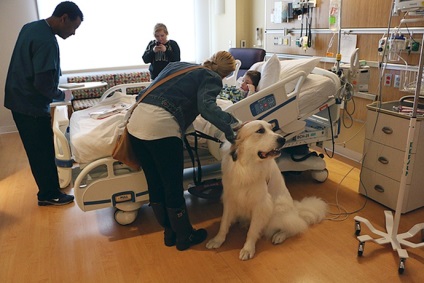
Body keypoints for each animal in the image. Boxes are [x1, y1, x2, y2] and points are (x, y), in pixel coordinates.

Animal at [205, 120, 328, 262]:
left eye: (272, 129)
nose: (283, 139)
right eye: (260, 131)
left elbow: (252, 231)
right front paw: (217, 240)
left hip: (277, 212)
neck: (246, 165)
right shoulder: (230, 198)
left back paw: (279, 236)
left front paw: (248, 249)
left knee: (295, 225)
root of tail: (296, 209)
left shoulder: (261, 204)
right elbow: (224, 223)